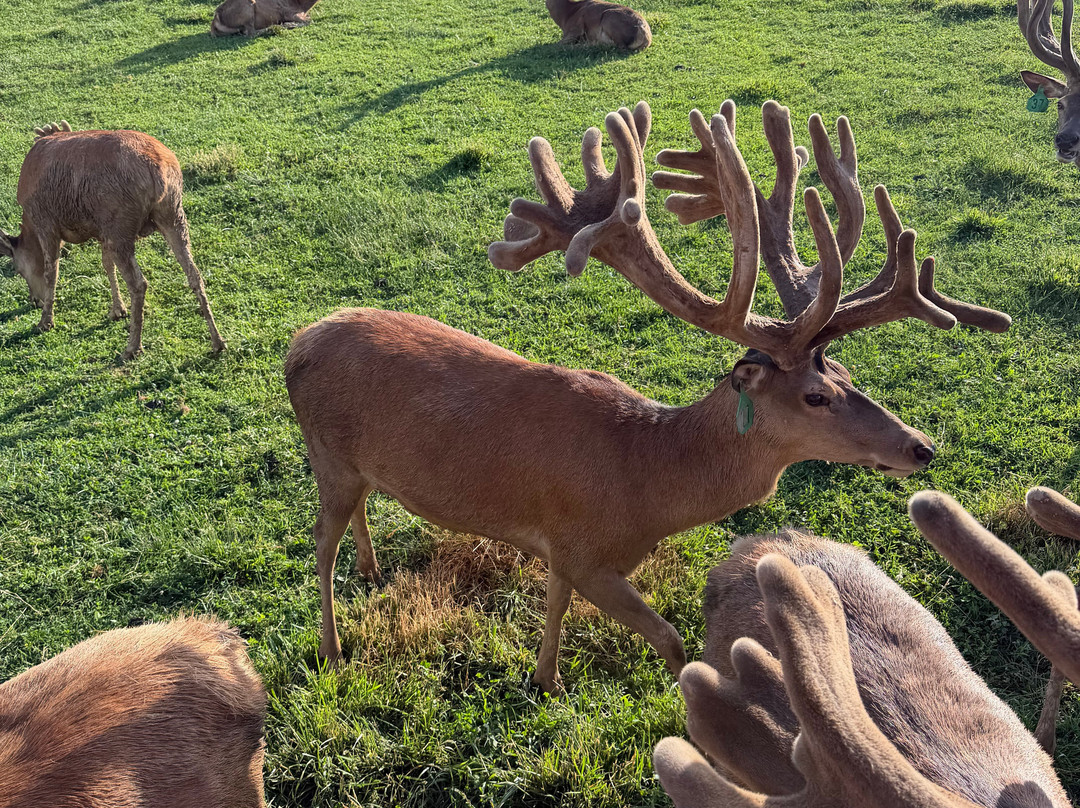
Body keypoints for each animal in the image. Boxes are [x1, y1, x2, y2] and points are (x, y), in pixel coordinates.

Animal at [0, 122, 225, 361]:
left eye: (18, 270)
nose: (35, 300)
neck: (29, 224)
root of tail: (159, 170)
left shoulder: (47, 224)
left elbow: (52, 272)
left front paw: (45, 321)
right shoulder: (101, 230)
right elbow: (107, 264)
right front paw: (117, 309)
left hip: (121, 223)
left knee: (139, 283)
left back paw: (133, 347)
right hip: (171, 214)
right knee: (194, 273)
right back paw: (218, 341)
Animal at [284, 99, 1010, 694]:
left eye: (850, 377)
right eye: (814, 397)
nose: (920, 447)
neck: (648, 483)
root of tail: (295, 345)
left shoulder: (561, 546)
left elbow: (554, 604)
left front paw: (545, 678)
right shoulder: (588, 551)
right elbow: (669, 638)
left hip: (354, 465)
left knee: (358, 513)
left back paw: (371, 571)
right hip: (325, 453)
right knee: (320, 542)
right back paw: (332, 647)